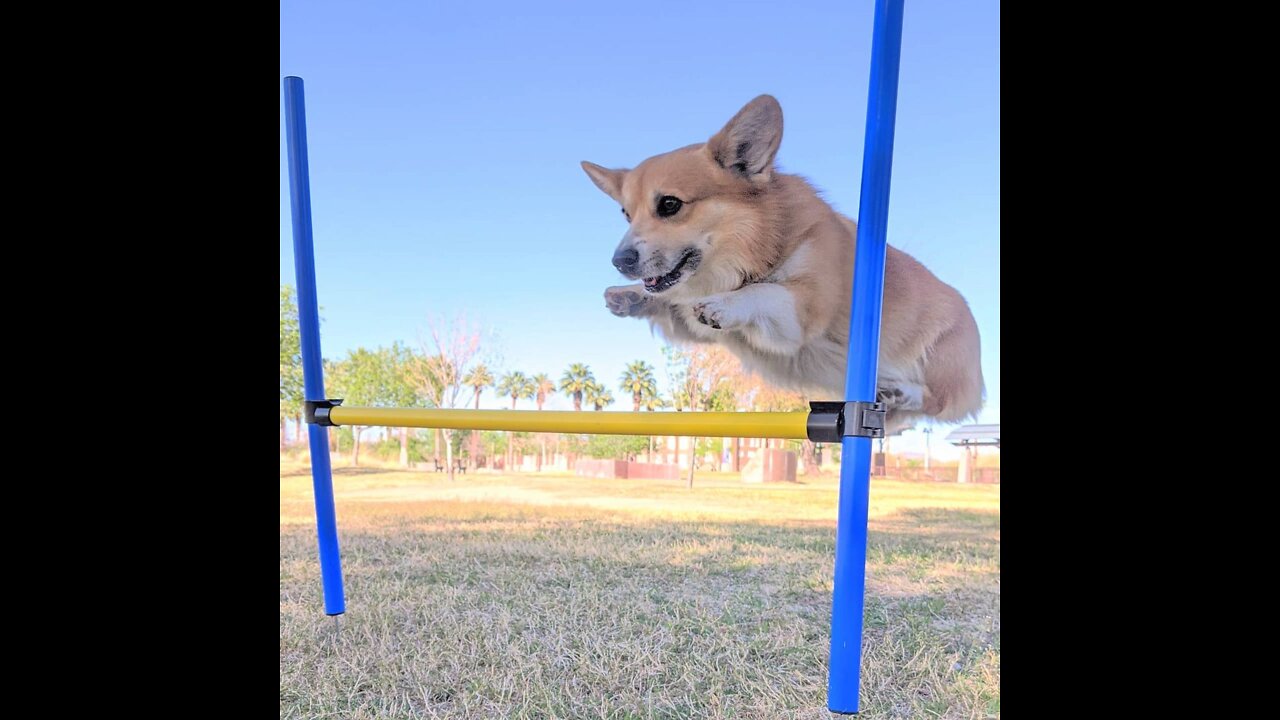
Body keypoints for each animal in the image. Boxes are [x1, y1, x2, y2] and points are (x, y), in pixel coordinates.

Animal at [586, 95, 983, 430]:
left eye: (669, 204)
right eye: (626, 214)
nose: (619, 262)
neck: (755, 245)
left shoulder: (801, 312)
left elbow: (764, 292)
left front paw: (723, 304)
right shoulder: (694, 324)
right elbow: (670, 300)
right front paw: (629, 295)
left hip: (943, 361)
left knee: (935, 400)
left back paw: (900, 389)